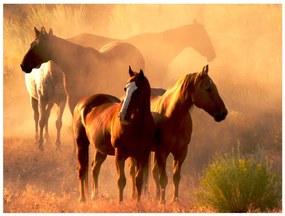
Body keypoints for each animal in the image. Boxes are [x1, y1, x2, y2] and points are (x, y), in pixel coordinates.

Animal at [72, 66, 153, 203]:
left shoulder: (142, 155)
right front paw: (120, 204)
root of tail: (81, 104)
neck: (137, 125)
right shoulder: (119, 154)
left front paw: (137, 203)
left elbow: (138, 180)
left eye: (138, 90)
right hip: (81, 143)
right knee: (82, 169)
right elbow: (121, 181)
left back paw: (94, 196)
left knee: (94, 168)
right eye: (125, 88)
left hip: (101, 150)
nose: (123, 116)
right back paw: (82, 199)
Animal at [129, 64, 226, 204]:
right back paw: (133, 196)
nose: (224, 112)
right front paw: (162, 202)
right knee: (133, 172)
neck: (173, 116)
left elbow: (176, 177)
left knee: (152, 173)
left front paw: (175, 201)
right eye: (208, 89)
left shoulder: (181, 153)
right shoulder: (162, 152)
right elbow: (163, 178)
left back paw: (154, 196)